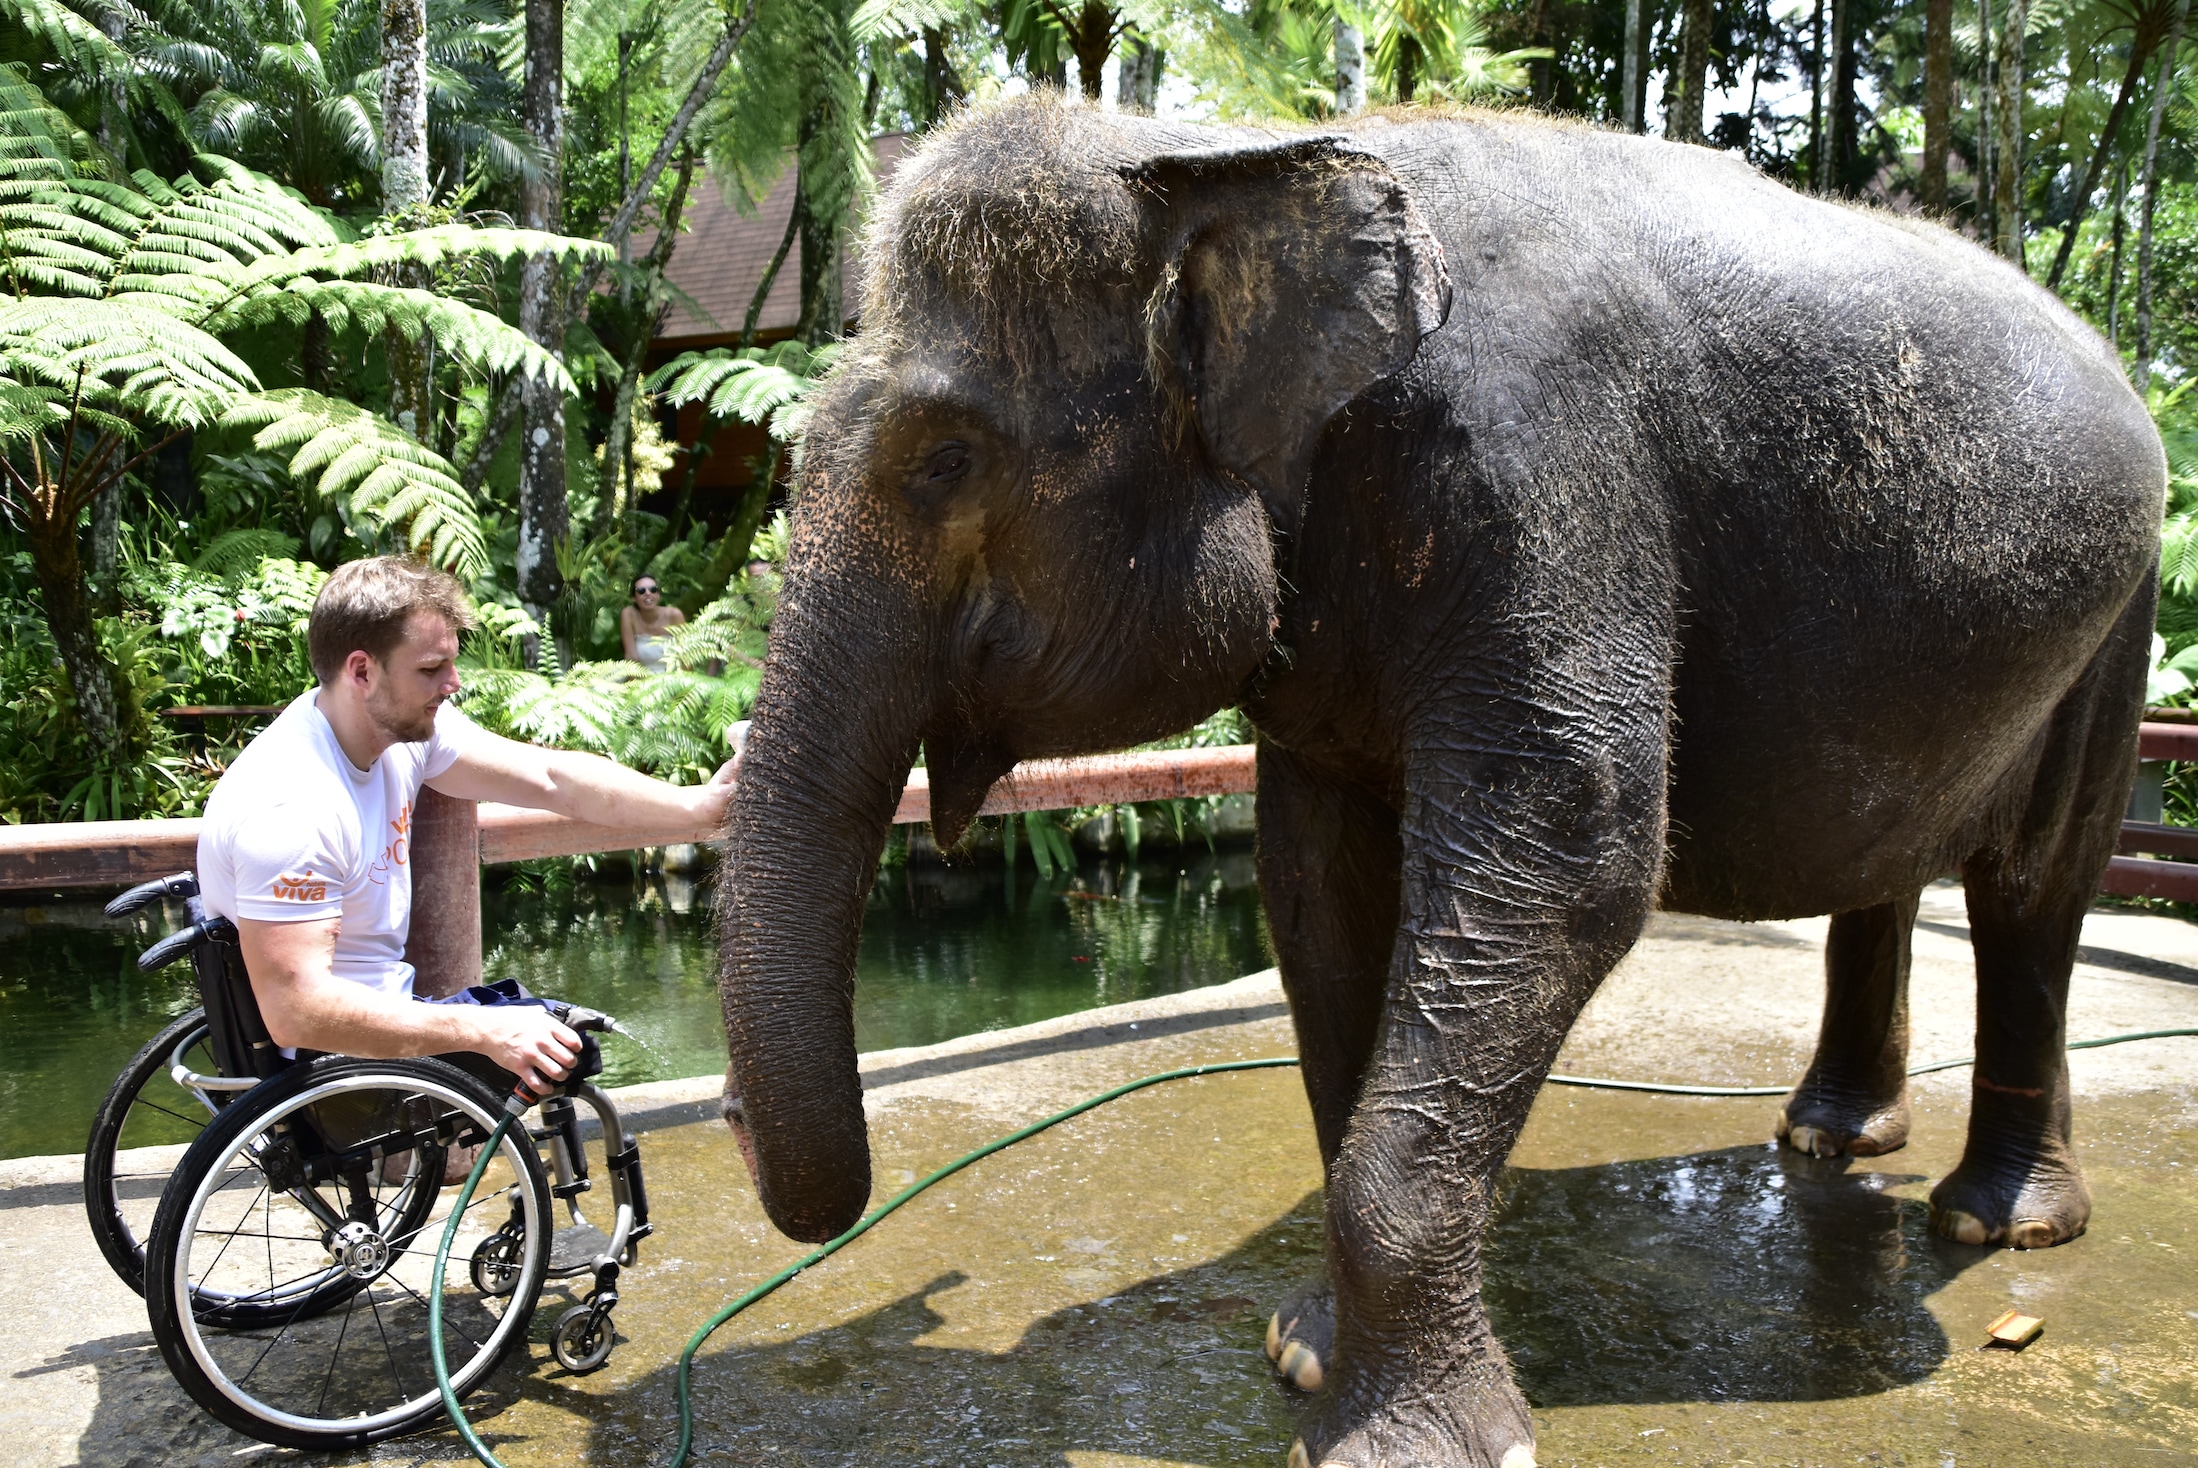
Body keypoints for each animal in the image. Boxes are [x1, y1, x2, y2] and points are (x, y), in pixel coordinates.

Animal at [716, 94, 2162, 1468]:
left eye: (942, 460)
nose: (750, 1140)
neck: (1219, 153)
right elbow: (1312, 883)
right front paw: (1303, 1353)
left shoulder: (1541, 475)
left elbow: (1573, 852)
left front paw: (1410, 1440)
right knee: (1892, 866)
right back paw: (1832, 1142)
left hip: (2119, 622)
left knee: (2032, 889)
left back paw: (1997, 1225)